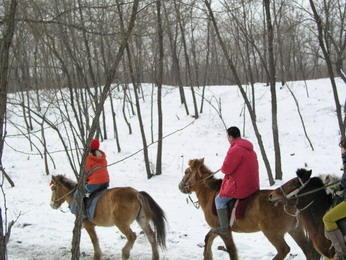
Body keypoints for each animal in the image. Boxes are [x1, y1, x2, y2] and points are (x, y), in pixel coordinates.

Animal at [178, 158, 322, 260]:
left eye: (186, 172)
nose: (180, 186)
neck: (210, 194)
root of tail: (291, 201)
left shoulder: (225, 231)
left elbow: (231, 250)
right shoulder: (216, 228)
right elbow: (208, 238)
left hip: (272, 233)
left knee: (284, 250)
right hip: (295, 230)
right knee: (309, 252)